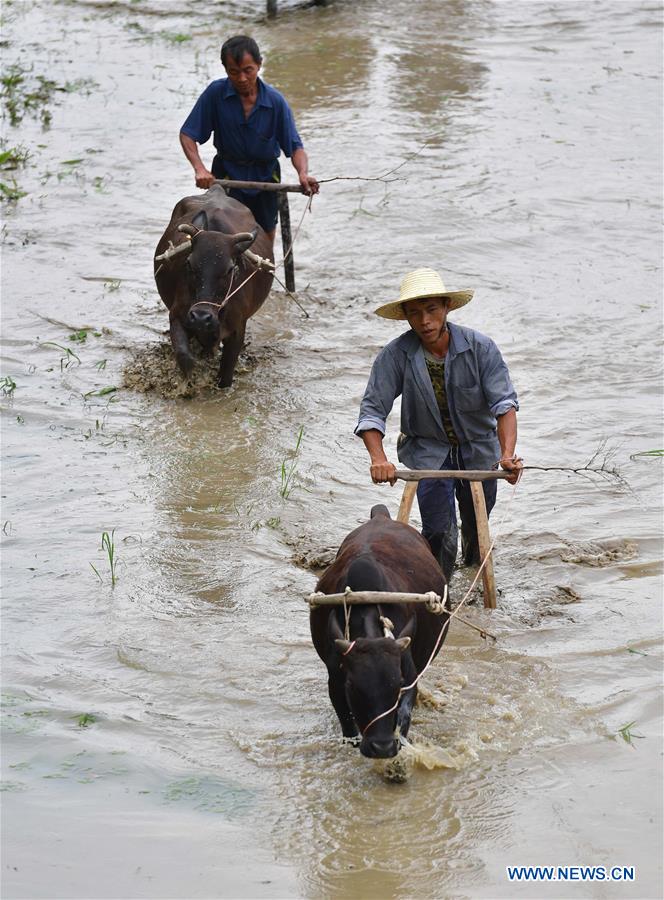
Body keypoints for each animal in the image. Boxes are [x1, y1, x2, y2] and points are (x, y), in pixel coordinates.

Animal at [153, 185, 272, 388]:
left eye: (230, 269)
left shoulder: (237, 329)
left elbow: (226, 375)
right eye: (189, 264)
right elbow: (185, 357)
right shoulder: (177, 316)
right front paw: (189, 383)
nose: (201, 317)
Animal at [308, 502, 448, 756]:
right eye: (352, 686)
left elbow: (404, 715)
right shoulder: (335, 680)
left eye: (398, 683)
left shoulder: (410, 674)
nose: (381, 747)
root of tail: (381, 516)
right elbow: (348, 727)